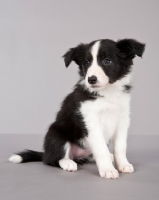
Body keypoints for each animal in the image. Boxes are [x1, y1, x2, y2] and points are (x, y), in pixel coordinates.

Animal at [9, 38, 145, 179]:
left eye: (107, 61)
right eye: (86, 63)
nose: (91, 79)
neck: (107, 93)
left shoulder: (122, 120)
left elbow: (120, 147)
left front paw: (123, 165)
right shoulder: (91, 122)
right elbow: (101, 149)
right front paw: (108, 169)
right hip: (56, 135)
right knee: (53, 159)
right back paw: (68, 163)